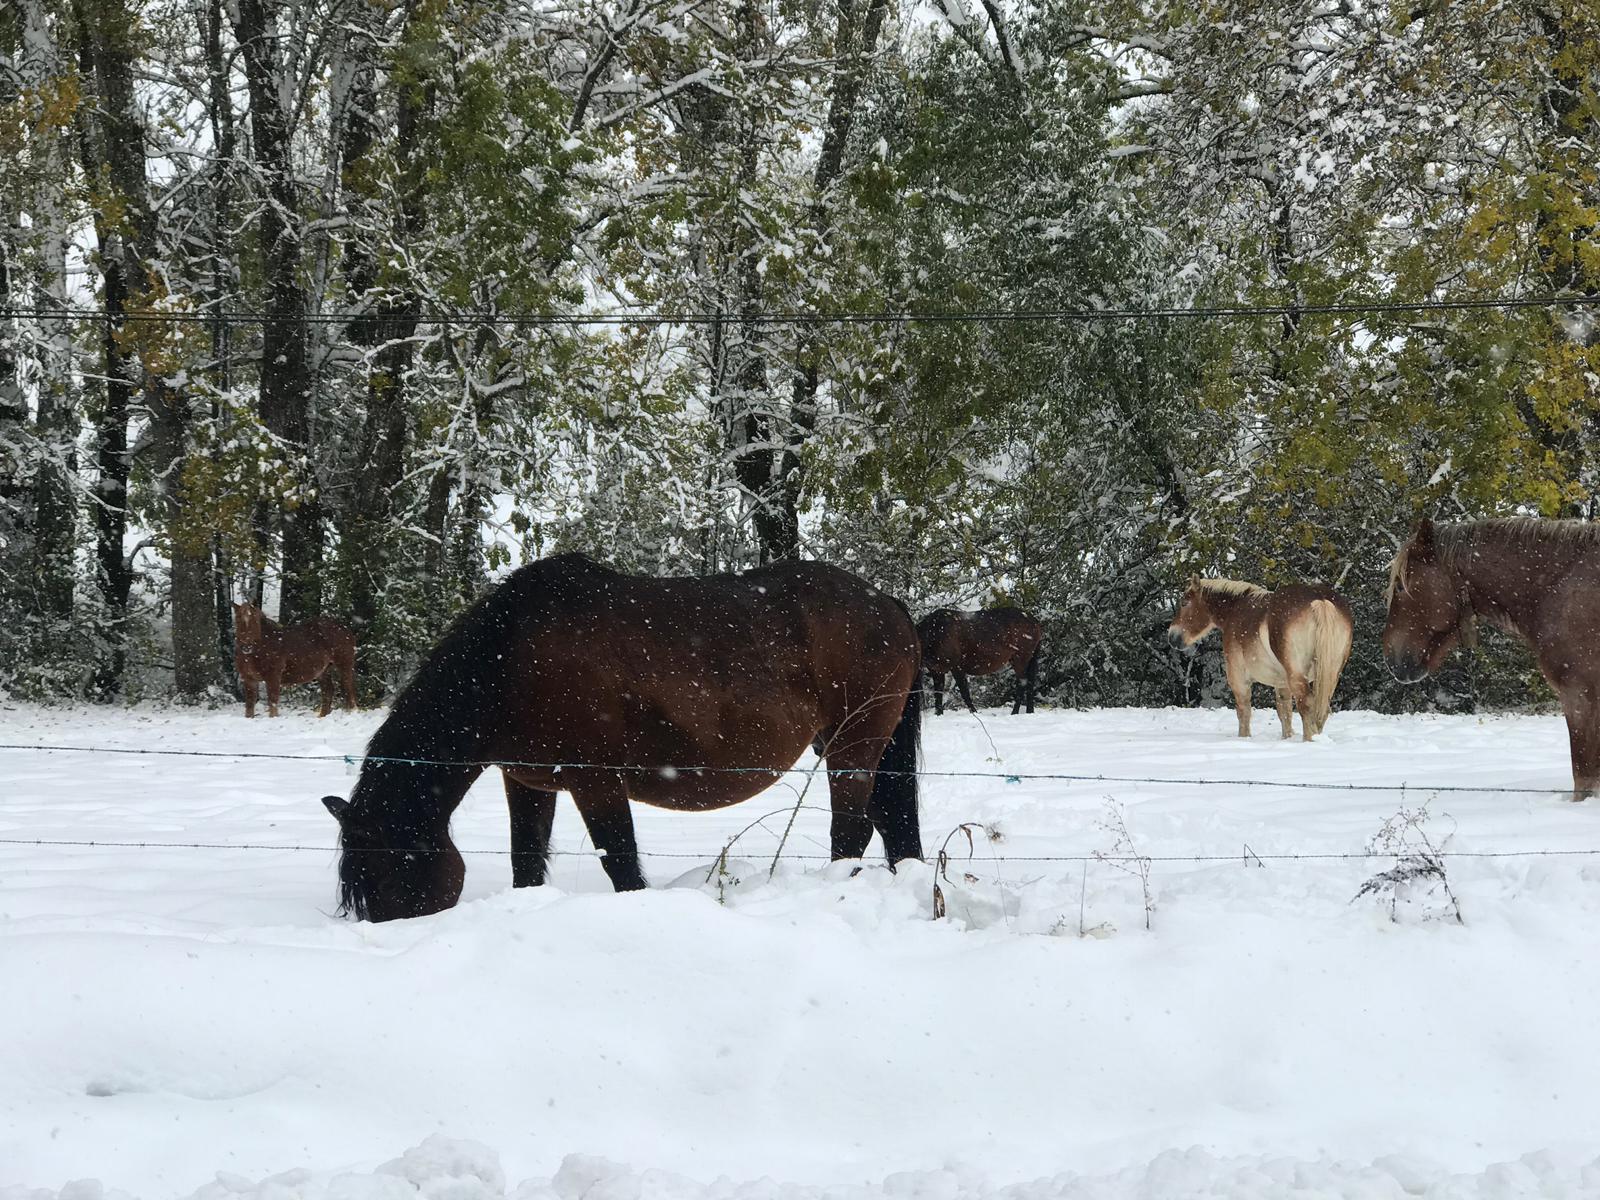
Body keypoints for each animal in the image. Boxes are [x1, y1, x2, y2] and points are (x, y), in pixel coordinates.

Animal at [321, 553, 928, 921]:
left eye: (391, 871)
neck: (510, 662)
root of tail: (889, 604)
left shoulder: (597, 784)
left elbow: (621, 864)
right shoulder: (529, 785)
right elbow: (526, 863)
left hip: (853, 749)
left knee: (851, 831)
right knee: (886, 821)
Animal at [1164, 576, 1350, 739]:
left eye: (1184, 602)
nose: (1172, 637)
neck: (1235, 609)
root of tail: (1320, 600)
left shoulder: (1239, 680)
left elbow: (1244, 712)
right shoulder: (1282, 684)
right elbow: (1285, 714)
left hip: (1298, 675)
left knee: (1307, 705)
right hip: (1331, 675)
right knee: (1321, 710)